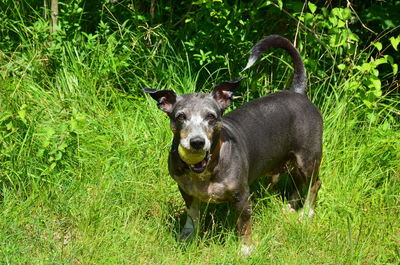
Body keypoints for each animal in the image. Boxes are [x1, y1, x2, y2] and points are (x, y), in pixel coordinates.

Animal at [143, 34, 322, 254]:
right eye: (181, 116)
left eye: (211, 116)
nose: (197, 142)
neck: (206, 170)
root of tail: (297, 92)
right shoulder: (185, 190)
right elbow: (192, 215)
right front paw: (188, 235)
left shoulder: (242, 196)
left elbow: (244, 224)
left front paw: (246, 249)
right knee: (297, 182)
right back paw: (290, 207)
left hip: (308, 158)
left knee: (314, 184)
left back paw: (306, 213)